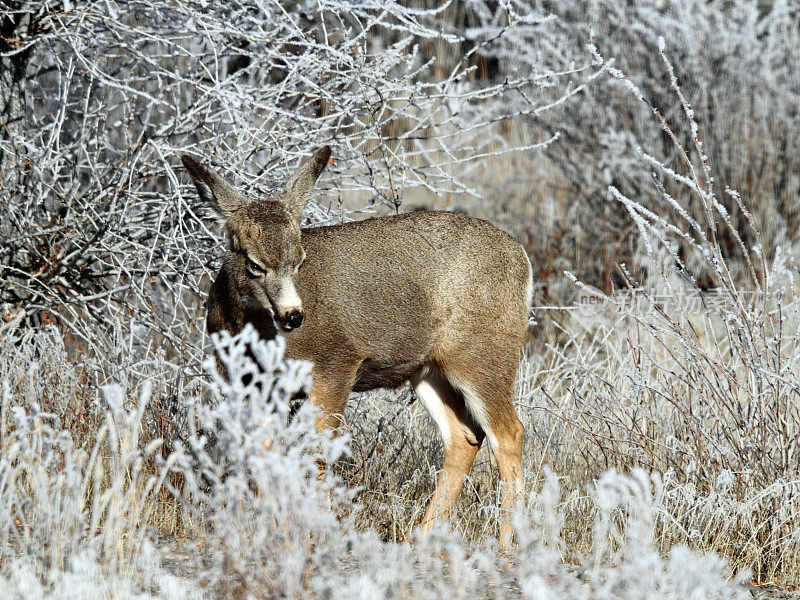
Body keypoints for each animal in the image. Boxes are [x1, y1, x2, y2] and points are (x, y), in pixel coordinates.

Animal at [181, 146, 532, 548]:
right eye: (255, 264)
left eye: (300, 260)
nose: (293, 315)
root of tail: (523, 259)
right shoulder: (250, 384)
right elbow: (263, 453)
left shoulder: (336, 363)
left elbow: (317, 452)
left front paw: (309, 534)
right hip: (428, 369)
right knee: (464, 435)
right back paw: (421, 537)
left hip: (483, 355)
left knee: (509, 432)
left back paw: (507, 545)